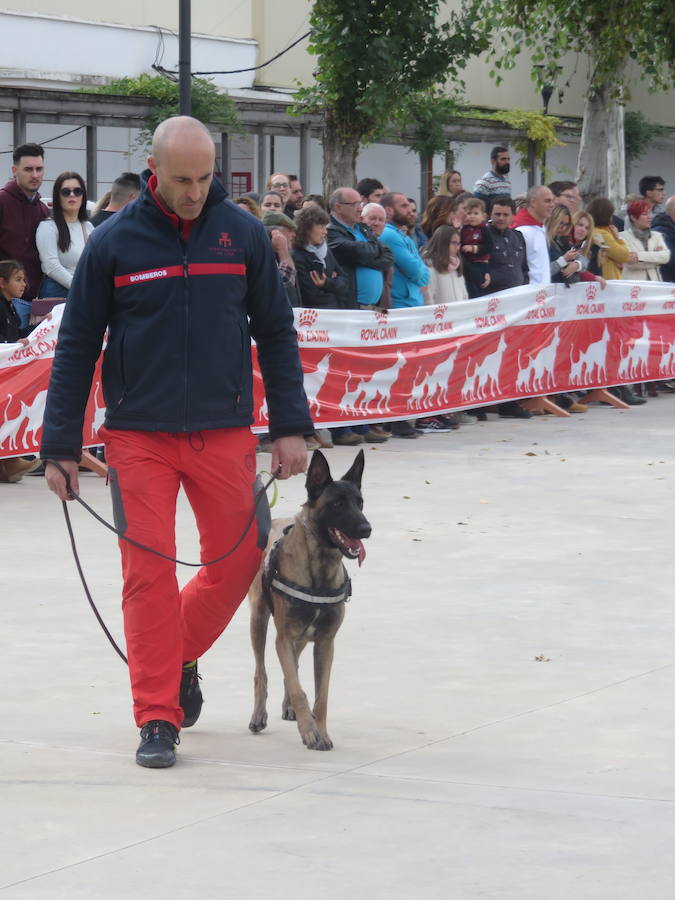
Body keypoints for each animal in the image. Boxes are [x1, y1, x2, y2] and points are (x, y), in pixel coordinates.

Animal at [248, 450, 370, 752]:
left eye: (360, 502)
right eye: (337, 503)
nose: (367, 528)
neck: (320, 569)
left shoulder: (325, 643)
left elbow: (320, 696)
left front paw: (321, 731)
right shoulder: (283, 638)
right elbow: (299, 689)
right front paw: (309, 732)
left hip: (301, 637)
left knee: (292, 666)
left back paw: (288, 707)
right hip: (259, 622)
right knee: (261, 672)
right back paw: (259, 714)